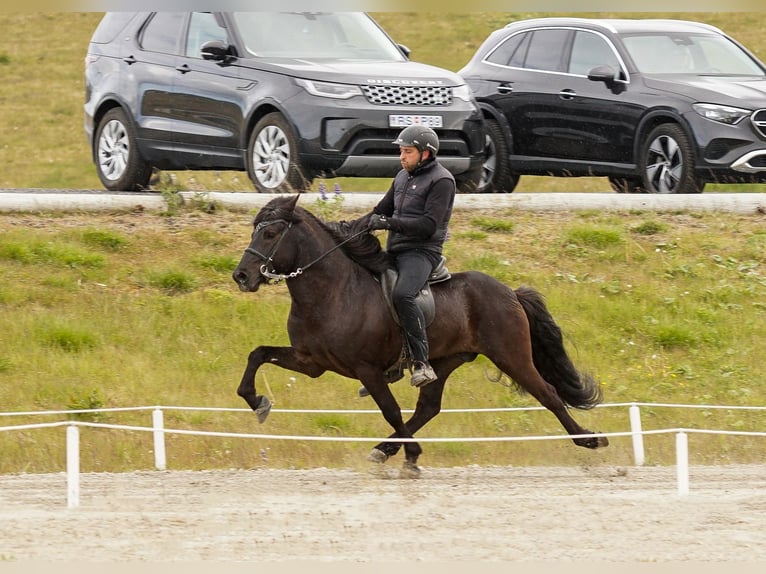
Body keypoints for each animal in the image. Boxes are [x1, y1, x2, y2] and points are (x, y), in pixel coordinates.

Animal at [232, 194, 608, 476]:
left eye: (271, 234)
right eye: (254, 231)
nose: (241, 276)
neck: (333, 291)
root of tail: (510, 292)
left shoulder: (367, 369)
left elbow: (390, 410)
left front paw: (412, 456)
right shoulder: (311, 362)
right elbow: (257, 354)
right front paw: (258, 402)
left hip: (511, 355)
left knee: (548, 394)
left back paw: (590, 439)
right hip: (444, 360)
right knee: (429, 408)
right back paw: (383, 449)